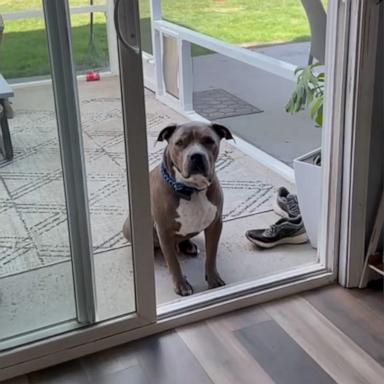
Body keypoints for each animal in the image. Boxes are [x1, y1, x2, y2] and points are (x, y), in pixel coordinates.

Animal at [123, 121, 232, 296]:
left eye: (209, 141)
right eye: (180, 143)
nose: (196, 156)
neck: (192, 189)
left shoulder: (215, 224)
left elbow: (211, 255)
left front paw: (214, 279)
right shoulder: (164, 230)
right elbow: (173, 262)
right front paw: (181, 285)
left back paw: (188, 245)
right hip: (128, 227)